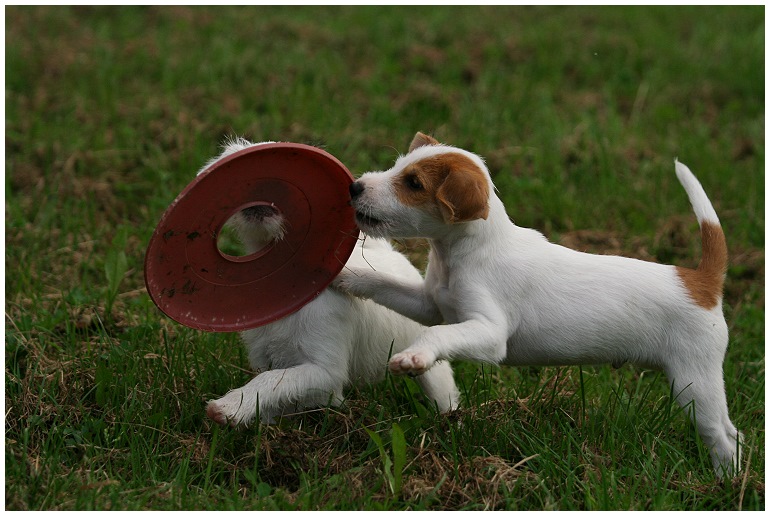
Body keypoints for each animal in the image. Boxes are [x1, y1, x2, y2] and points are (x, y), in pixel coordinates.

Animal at [332, 132, 740, 476]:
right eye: (398, 165)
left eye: (414, 184)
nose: (355, 186)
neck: (467, 252)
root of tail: (701, 282)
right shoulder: (429, 305)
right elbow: (382, 285)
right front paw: (343, 274)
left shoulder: (489, 333)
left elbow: (437, 336)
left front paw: (415, 357)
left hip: (694, 382)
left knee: (725, 435)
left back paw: (726, 483)